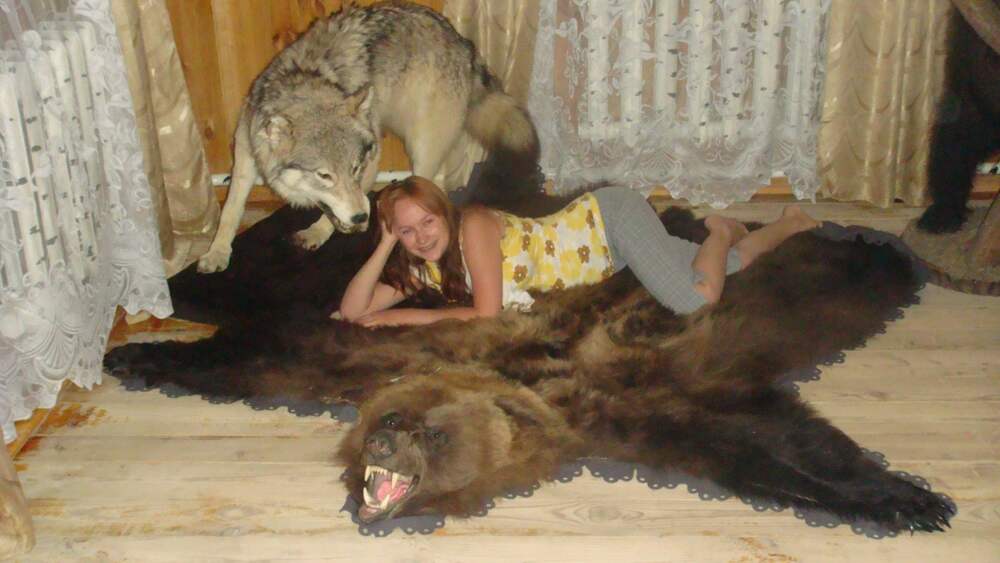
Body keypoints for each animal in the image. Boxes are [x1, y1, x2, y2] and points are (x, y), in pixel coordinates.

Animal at [197, 1, 540, 273]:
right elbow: (230, 212)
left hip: (421, 143)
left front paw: (320, 232)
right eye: (324, 175)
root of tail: (462, 41)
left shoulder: (371, 158)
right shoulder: (245, 158)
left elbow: (350, 203)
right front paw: (216, 253)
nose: (362, 216)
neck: (308, 83)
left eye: (353, 168)